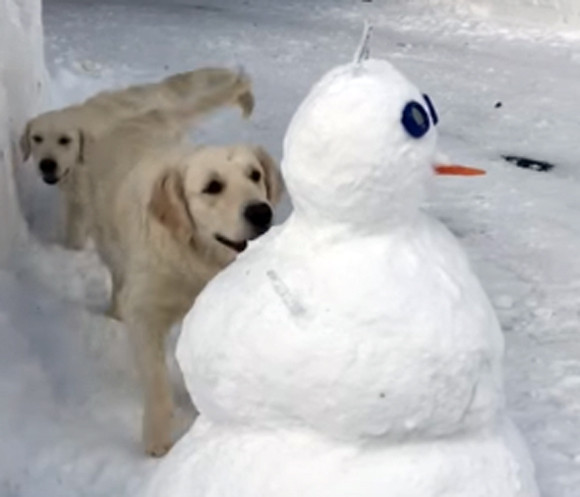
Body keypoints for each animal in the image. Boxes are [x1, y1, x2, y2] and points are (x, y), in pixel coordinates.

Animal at [82, 70, 282, 458]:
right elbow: (157, 379)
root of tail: (144, 114)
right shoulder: (144, 310)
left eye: (255, 175)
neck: (194, 254)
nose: (261, 212)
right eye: (212, 186)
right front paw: (158, 437)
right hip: (107, 239)